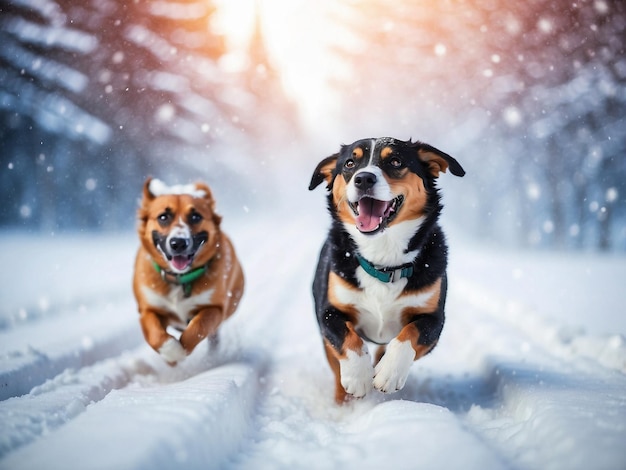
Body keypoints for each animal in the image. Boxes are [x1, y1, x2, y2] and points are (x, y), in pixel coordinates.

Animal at [132, 178, 244, 366]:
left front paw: (181, 351)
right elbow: (155, 334)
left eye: (195, 216)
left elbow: (198, 327)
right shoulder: (148, 309)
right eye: (163, 217)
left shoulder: (214, 308)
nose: (178, 243)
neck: (180, 279)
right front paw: (172, 354)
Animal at [308, 138, 464, 402]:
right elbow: (347, 339)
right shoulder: (328, 312)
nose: (363, 179)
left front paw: (389, 373)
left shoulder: (434, 319)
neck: (383, 260)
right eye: (349, 163)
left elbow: (410, 334)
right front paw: (358, 377)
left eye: (395, 161)